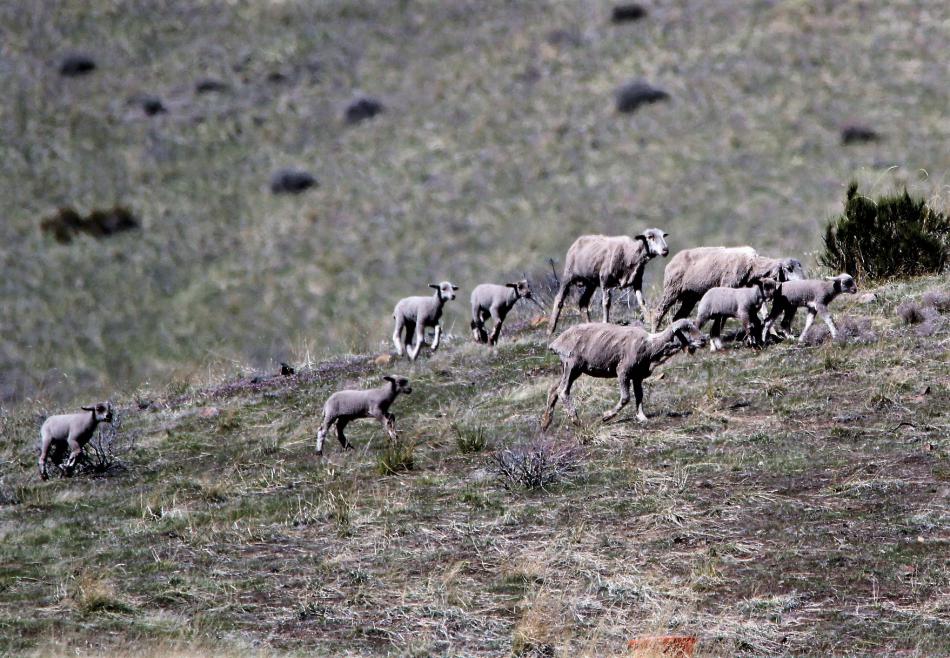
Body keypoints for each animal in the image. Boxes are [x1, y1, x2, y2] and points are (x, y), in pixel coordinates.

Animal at [541, 319, 704, 429]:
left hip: (568, 367)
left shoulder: (637, 376)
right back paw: (575, 420)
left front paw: (642, 417)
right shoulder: (623, 371)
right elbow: (626, 398)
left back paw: (545, 422)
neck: (651, 346)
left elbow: (639, 396)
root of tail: (555, 343)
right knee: (563, 390)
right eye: (687, 328)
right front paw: (606, 416)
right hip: (573, 364)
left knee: (553, 389)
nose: (704, 339)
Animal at [653, 247, 805, 330]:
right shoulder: (728, 285)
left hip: (690, 296)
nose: (803, 281)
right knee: (658, 313)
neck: (752, 264)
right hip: (672, 290)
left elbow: (759, 313)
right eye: (788, 268)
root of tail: (670, 263)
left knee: (677, 316)